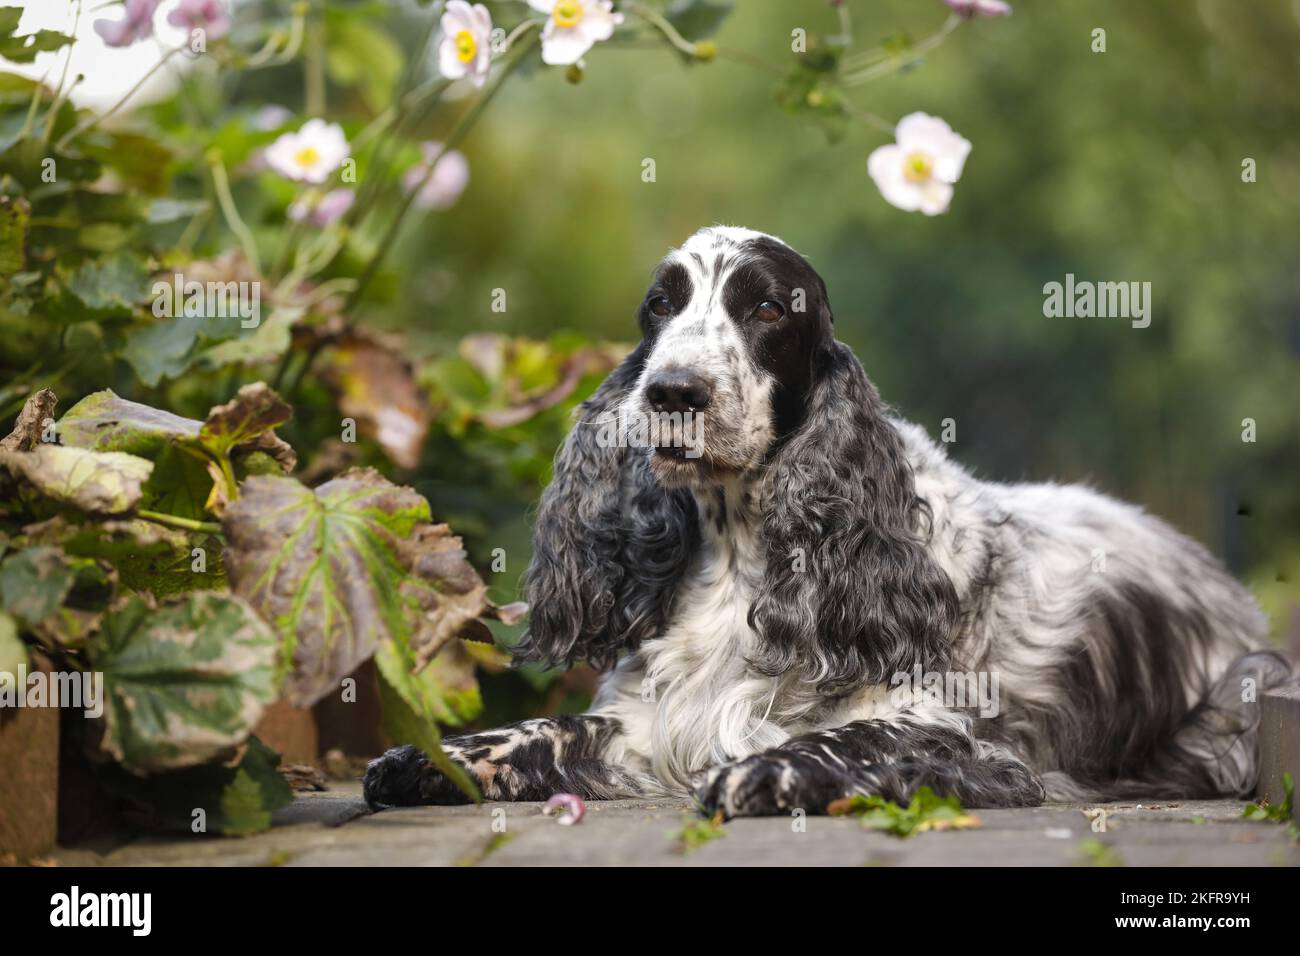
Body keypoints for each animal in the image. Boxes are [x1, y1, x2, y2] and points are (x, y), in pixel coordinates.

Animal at [366, 223, 1289, 816]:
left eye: (770, 309)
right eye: (660, 307)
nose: (671, 393)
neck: (743, 551)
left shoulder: (951, 730)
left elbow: (850, 741)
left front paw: (764, 775)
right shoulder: (650, 718)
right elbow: (541, 729)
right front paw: (427, 760)